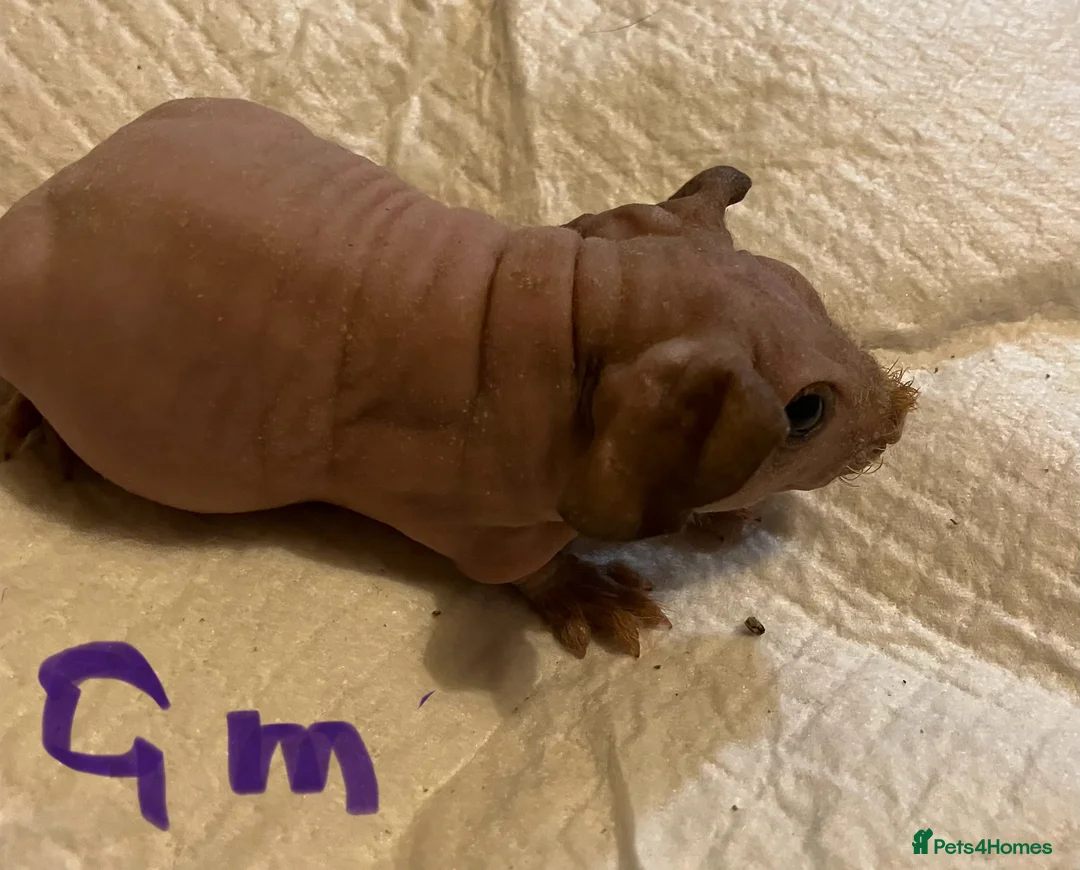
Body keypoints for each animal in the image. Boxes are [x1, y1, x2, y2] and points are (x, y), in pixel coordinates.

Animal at [0, 97, 917, 657]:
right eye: (806, 412)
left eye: (807, 290)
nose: (900, 413)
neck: (566, 309)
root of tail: (49, 193)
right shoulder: (482, 514)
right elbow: (516, 567)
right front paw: (591, 591)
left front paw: (725, 518)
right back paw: (39, 430)